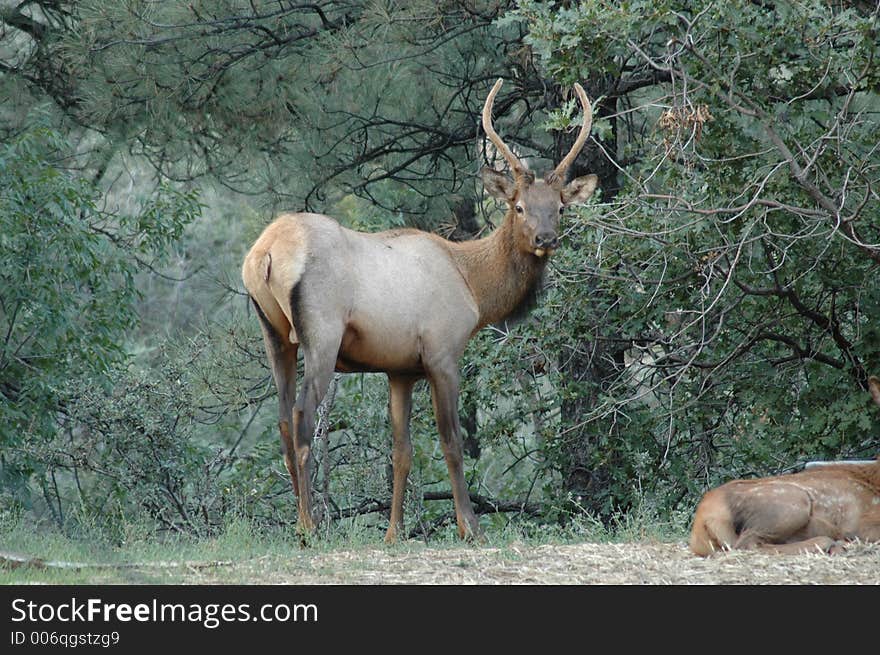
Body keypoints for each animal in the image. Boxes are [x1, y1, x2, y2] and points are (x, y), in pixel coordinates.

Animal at [241, 79, 600, 540]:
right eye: (518, 206)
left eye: (559, 206)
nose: (545, 238)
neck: (474, 288)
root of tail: (264, 254)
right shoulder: (442, 352)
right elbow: (452, 444)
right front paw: (471, 527)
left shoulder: (400, 370)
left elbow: (402, 451)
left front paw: (394, 532)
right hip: (321, 332)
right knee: (303, 417)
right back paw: (309, 527)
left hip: (273, 334)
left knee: (284, 420)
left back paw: (301, 522)